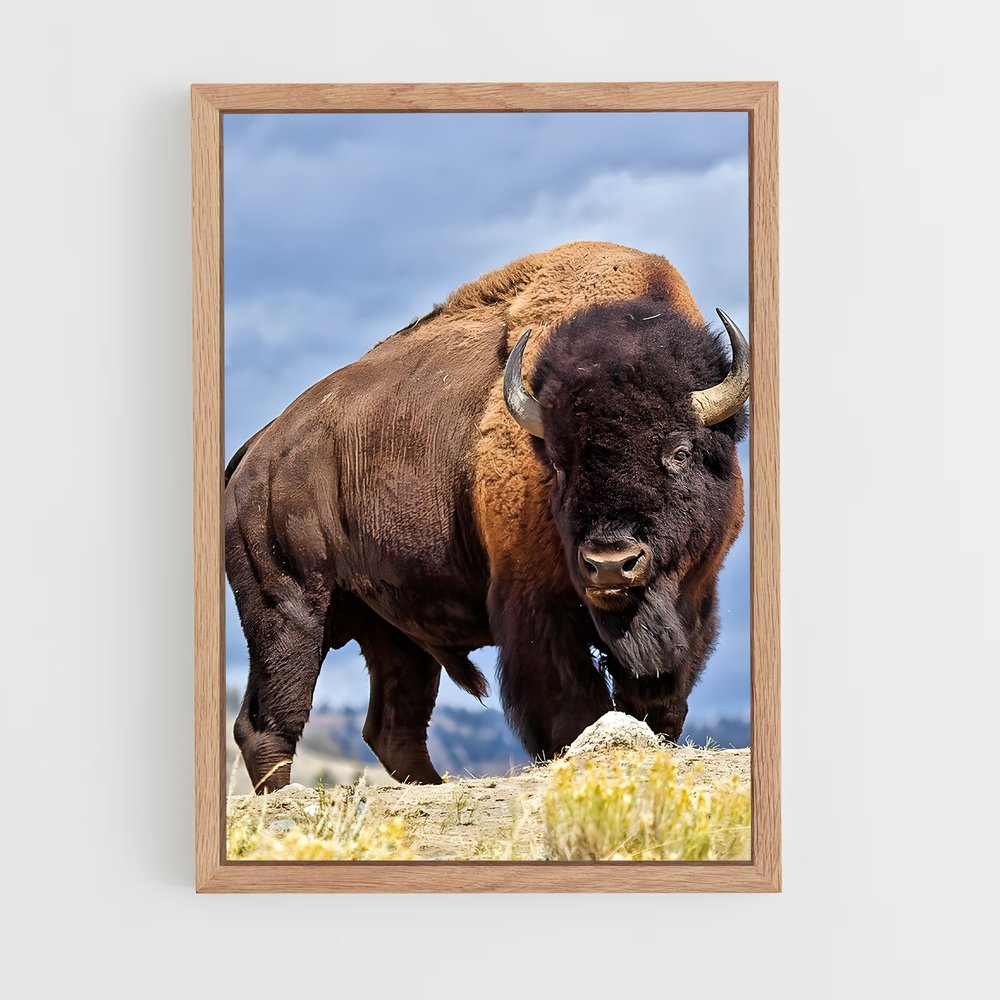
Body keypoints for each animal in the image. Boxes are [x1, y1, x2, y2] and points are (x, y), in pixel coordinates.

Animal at [225, 241, 749, 791]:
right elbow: (572, 710)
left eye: (681, 452)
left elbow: (661, 703)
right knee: (268, 721)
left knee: (392, 727)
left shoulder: (692, 605)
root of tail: (257, 450)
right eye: (559, 462)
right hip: (290, 612)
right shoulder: (535, 610)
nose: (610, 563)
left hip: (393, 632)